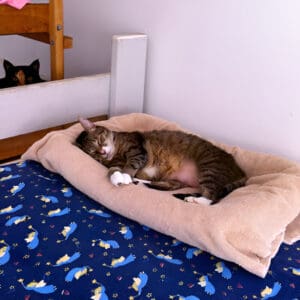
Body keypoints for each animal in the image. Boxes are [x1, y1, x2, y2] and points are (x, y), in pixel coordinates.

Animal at [75, 117, 246, 204]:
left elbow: (130, 165)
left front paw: (125, 175)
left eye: (99, 141)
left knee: (212, 197)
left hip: (209, 168)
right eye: (94, 154)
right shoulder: (115, 163)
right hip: (177, 180)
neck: (116, 151)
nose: (103, 152)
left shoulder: (137, 151)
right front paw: (118, 177)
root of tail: (242, 173)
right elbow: (112, 170)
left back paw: (193, 199)